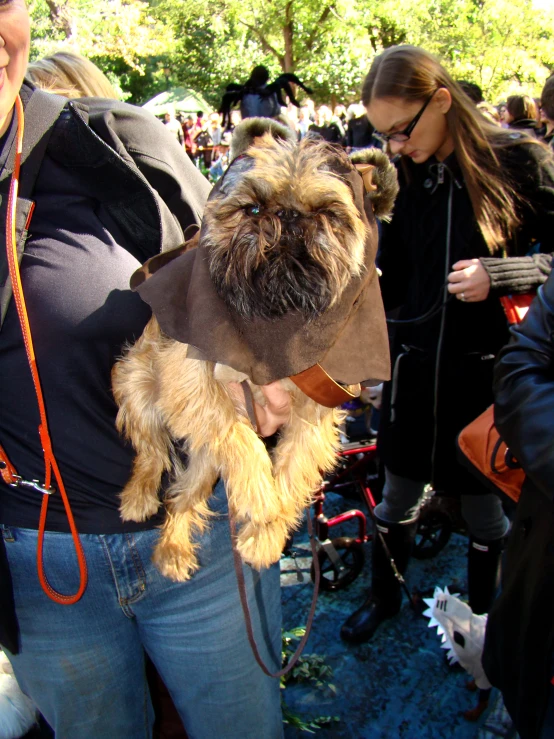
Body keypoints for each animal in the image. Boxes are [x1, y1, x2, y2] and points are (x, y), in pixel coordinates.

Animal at [112, 121, 394, 584]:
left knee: (185, 495)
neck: (276, 315)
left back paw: (173, 549)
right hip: (138, 384)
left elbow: (293, 472)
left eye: (328, 213)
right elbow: (236, 434)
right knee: (152, 453)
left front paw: (266, 534)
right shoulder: (194, 381)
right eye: (254, 209)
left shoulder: (314, 410)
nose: (289, 216)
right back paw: (139, 498)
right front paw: (262, 499)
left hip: (203, 460)